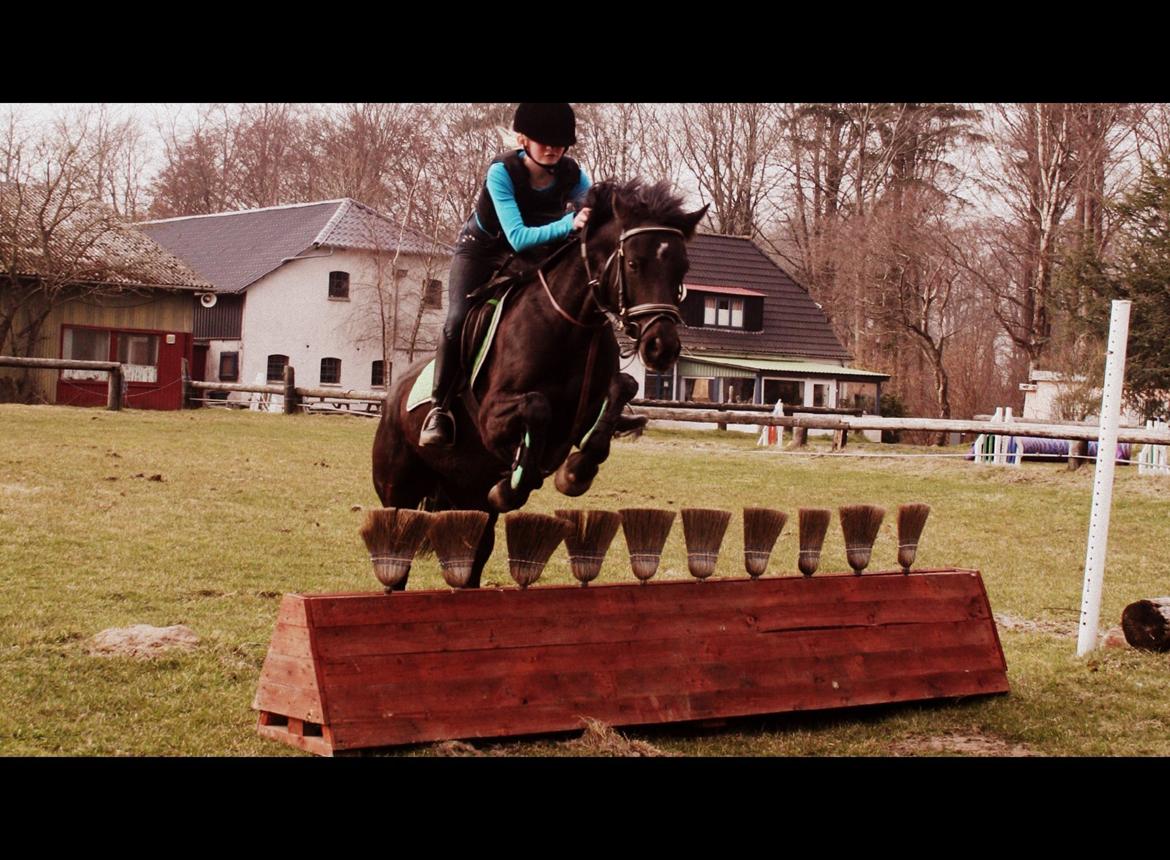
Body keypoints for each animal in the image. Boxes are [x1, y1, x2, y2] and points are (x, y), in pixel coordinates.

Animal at [369, 177, 706, 589]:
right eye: (634, 263)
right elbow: (536, 406)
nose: (662, 346)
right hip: (398, 491)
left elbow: (622, 387)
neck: (571, 325)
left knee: (472, 556)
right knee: (397, 549)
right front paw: (513, 485)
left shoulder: (585, 410)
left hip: (468, 496)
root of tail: (393, 394)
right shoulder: (493, 418)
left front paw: (575, 473)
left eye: (682, 267)